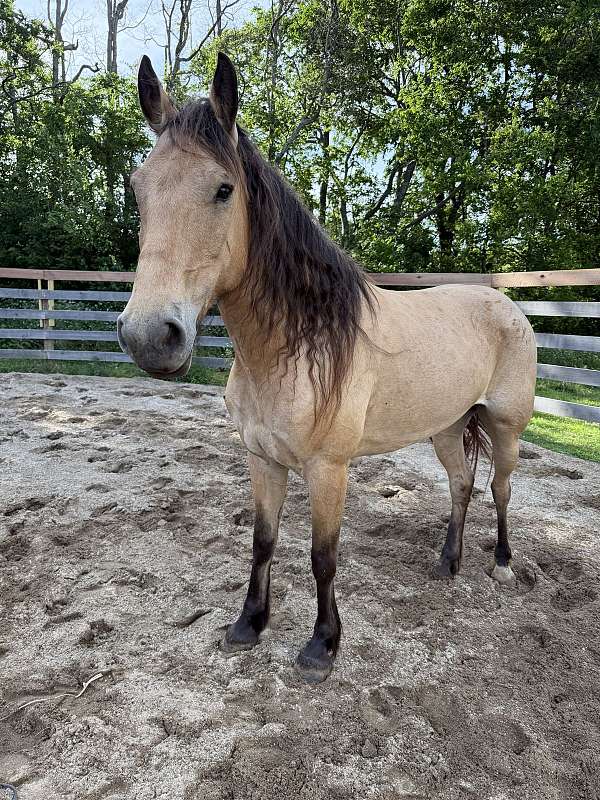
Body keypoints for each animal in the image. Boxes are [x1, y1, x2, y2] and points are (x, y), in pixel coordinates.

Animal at [118, 52, 537, 683]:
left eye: (223, 190)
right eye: (139, 190)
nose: (150, 337)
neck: (296, 347)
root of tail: (506, 303)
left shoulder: (328, 470)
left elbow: (323, 556)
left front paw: (322, 647)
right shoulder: (263, 460)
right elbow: (264, 541)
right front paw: (249, 625)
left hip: (506, 428)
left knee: (501, 487)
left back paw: (503, 565)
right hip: (445, 426)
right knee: (462, 485)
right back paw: (447, 562)